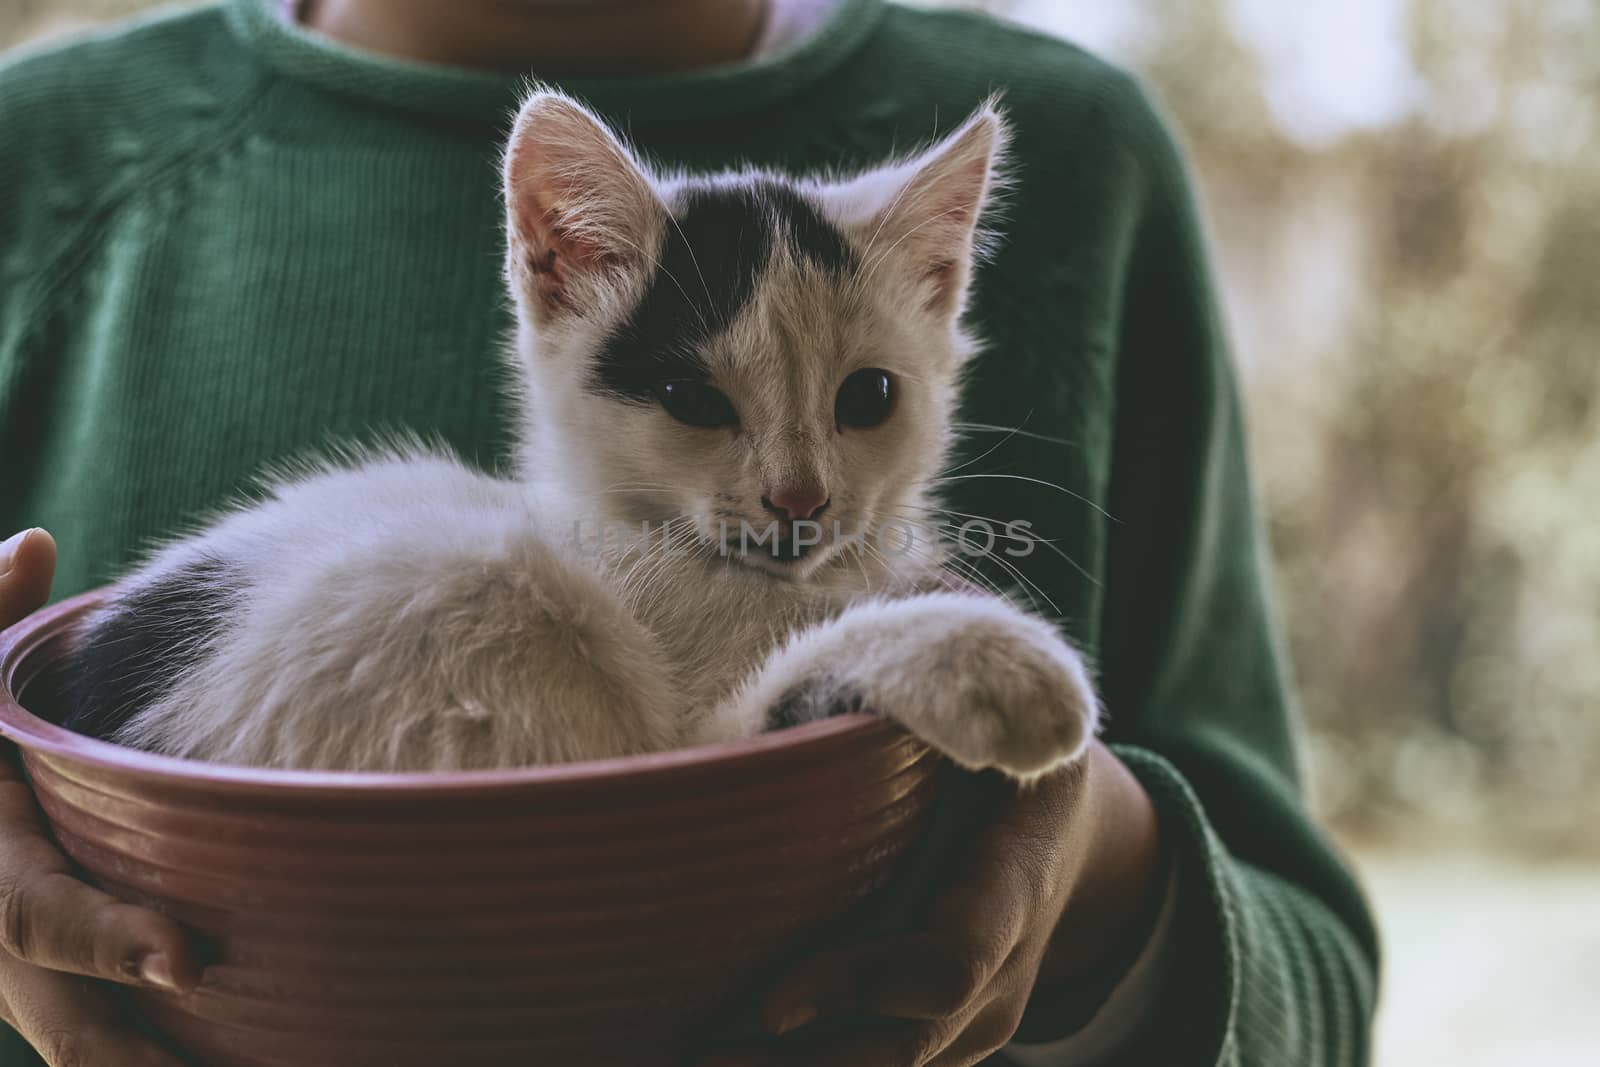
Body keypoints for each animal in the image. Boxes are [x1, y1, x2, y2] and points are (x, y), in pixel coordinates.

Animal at [72, 89, 1100, 783]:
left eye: (870, 395)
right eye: (691, 398)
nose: (800, 497)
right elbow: (733, 719)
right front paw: (991, 655)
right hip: (457, 591)